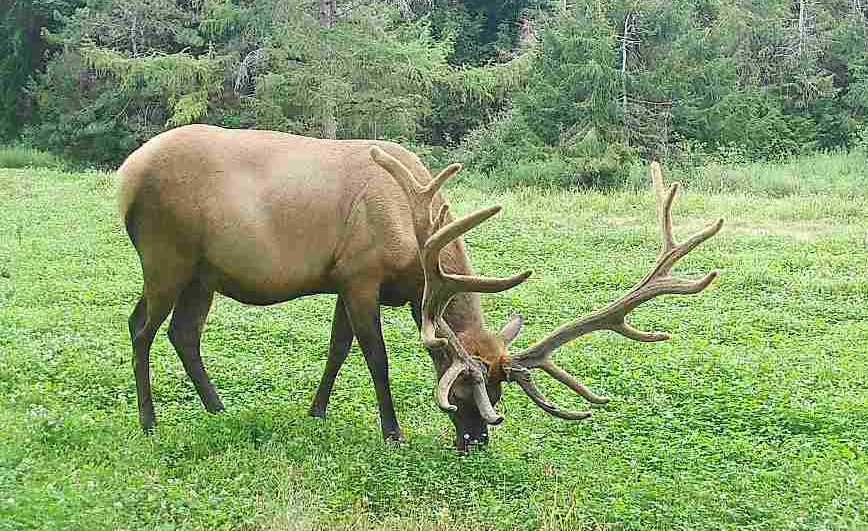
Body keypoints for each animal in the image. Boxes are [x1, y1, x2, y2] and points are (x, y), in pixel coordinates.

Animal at [118, 124, 722, 450]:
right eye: (459, 390)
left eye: (499, 390)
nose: (476, 440)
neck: (414, 241)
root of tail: (125, 176)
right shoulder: (362, 275)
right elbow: (375, 358)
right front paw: (393, 432)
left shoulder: (348, 280)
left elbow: (337, 350)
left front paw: (315, 413)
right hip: (166, 253)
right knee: (141, 325)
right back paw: (149, 421)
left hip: (203, 272)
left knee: (183, 333)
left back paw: (219, 410)